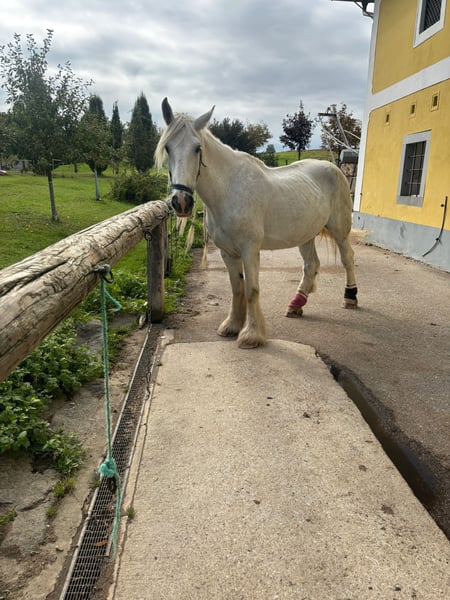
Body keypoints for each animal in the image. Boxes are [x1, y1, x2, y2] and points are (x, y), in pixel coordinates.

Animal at [155, 98, 358, 349]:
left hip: (340, 229)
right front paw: (232, 325)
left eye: (197, 148)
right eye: (167, 148)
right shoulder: (227, 252)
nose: (181, 202)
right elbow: (237, 288)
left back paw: (350, 297)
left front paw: (251, 334)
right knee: (311, 265)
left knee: (347, 258)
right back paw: (297, 303)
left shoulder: (249, 249)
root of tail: (334, 168)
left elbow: (251, 289)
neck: (229, 190)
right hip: (305, 235)